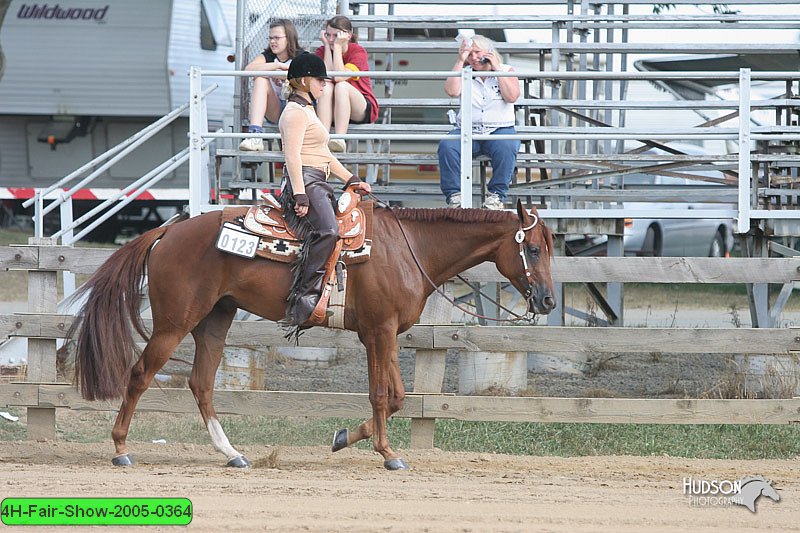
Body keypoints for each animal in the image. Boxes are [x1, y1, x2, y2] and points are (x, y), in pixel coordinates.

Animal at [69, 201, 552, 470]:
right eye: (531, 248)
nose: (547, 300)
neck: (408, 248)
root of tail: (169, 228)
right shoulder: (380, 331)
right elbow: (382, 395)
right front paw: (388, 454)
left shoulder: (383, 333)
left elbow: (395, 397)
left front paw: (345, 439)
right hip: (175, 321)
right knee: (140, 375)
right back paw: (120, 449)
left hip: (215, 319)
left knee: (201, 383)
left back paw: (232, 453)